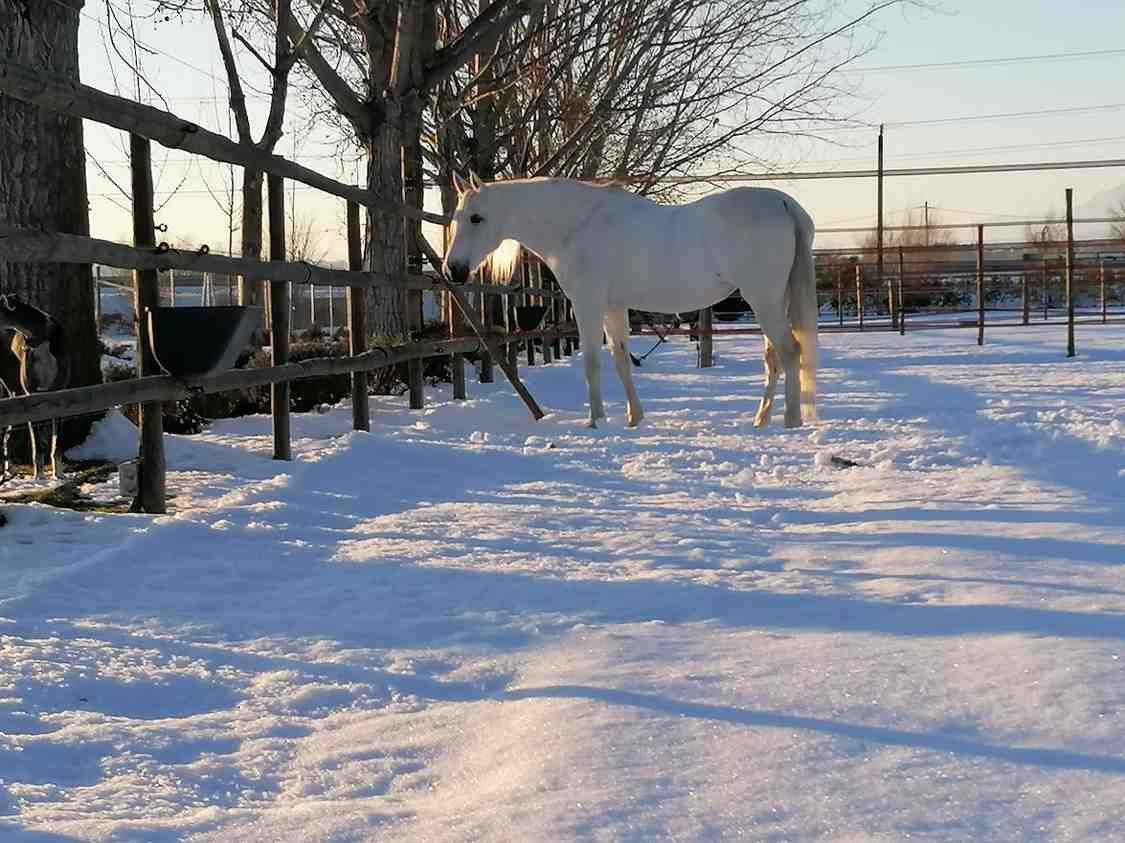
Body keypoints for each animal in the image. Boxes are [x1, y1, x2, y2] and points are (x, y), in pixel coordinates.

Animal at [0, 294, 70, 480]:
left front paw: (58, 474)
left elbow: (57, 441)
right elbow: (36, 444)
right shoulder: (31, 396)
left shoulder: (59, 394)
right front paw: (38, 477)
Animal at [443, 174, 818, 429]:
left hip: (763, 299)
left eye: (476, 218)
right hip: (773, 300)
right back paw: (761, 420)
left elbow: (592, 362)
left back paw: (791, 421)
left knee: (789, 351)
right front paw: (634, 418)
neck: (576, 226)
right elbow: (621, 359)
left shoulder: (589, 303)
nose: (453, 270)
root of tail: (783, 203)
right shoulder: (614, 307)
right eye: (456, 218)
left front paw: (595, 421)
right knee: (773, 358)